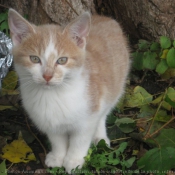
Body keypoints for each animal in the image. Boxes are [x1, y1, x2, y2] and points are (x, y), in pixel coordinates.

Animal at [8, 8, 131, 174]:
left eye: (62, 60)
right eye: (34, 59)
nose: (47, 75)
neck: (53, 95)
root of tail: (106, 18)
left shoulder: (88, 116)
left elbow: (80, 140)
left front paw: (74, 161)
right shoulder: (48, 121)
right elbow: (57, 139)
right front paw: (58, 157)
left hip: (115, 85)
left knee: (104, 112)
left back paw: (100, 137)